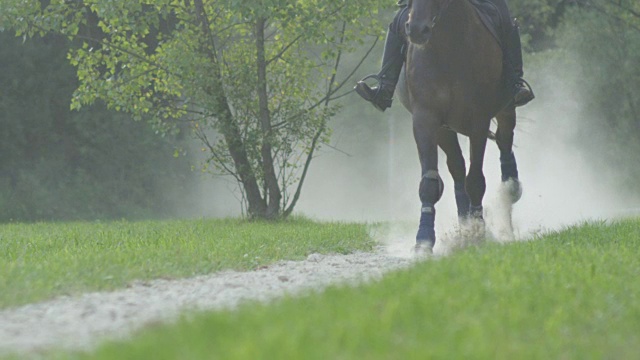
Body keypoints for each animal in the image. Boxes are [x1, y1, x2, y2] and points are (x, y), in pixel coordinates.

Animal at [400, 0, 524, 253]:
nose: (417, 30)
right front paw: (423, 240)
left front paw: (477, 233)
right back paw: (464, 221)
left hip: (506, 109)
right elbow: (430, 183)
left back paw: (510, 191)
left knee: (504, 140)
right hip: (445, 131)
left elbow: (475, 180)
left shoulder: (479, 121)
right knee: (457, 167)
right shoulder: (426, 120)